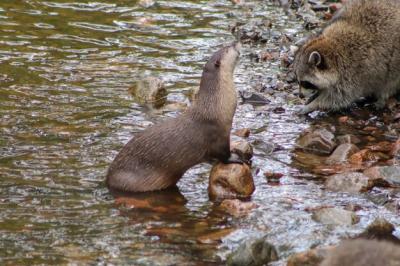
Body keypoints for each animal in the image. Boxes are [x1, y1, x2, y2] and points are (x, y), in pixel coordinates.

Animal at [106, 41, 242, 192]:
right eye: (228, 48)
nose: (236, 42)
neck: (215, 106)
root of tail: (107, 180)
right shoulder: (218, 135)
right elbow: (223, 155)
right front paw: (236, 158)